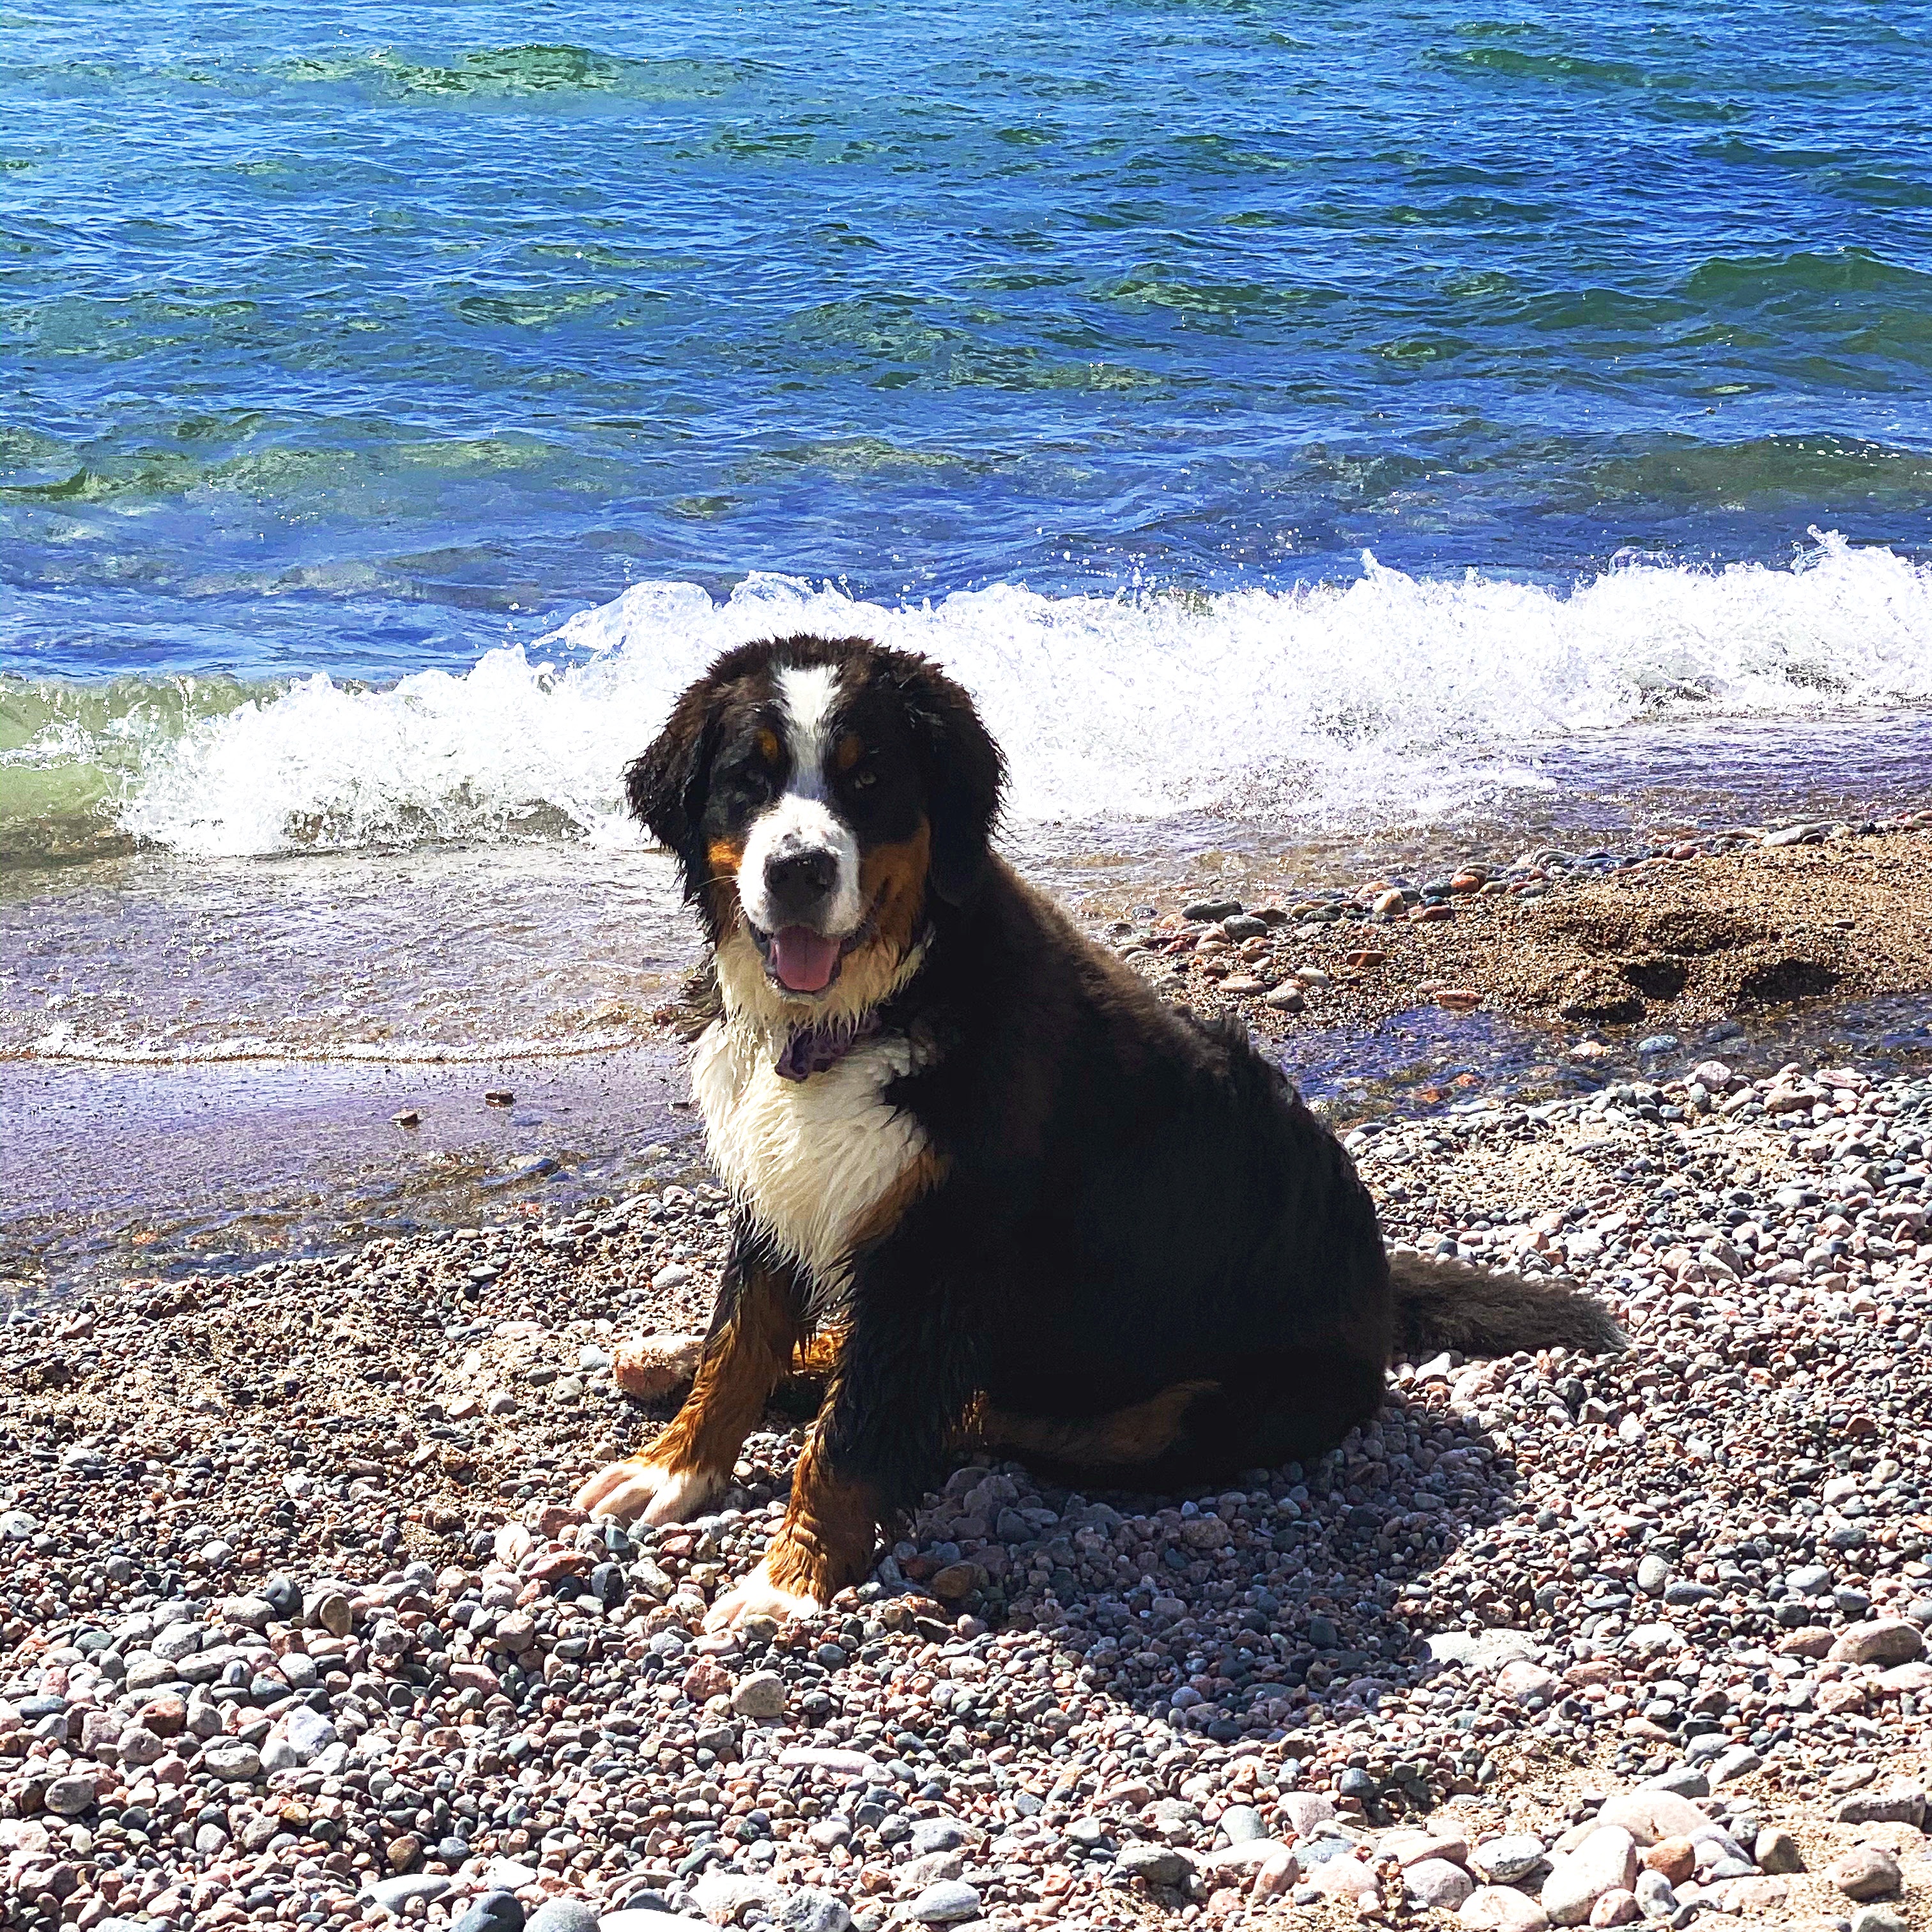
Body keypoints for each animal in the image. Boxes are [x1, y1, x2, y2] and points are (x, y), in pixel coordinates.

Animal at [576, 633, 1630, 1630]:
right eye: (747, 780)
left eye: (868, 778)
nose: (799, 871)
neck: (861, 1014)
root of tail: (1376, 1286)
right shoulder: (781, 1195)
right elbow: (738, 1347)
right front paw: (675, 1468)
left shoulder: (938, 1249)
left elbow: (853, 1439)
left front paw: (788, 1582)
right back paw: (688, 1360)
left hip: (1198, 1409)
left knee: (995, 1412)